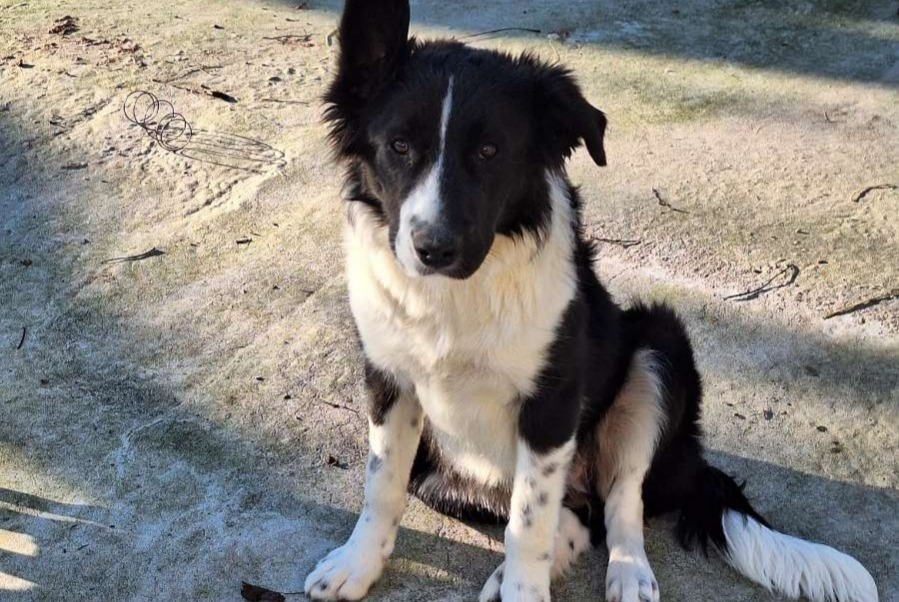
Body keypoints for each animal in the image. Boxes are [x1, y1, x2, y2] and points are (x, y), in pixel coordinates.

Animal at [302, 2, 880, 596]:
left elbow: (529, 523)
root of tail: (688, 466)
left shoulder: (552, 403)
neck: (455, 295)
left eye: (489, 151)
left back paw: (628, 574)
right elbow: (381, 484)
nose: (434, 249)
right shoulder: (388, 381)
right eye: (399, 146)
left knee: (620, 502)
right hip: (440, 473)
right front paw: (358, 564)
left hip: (660, 345)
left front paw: (525, 592)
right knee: (576, 521)